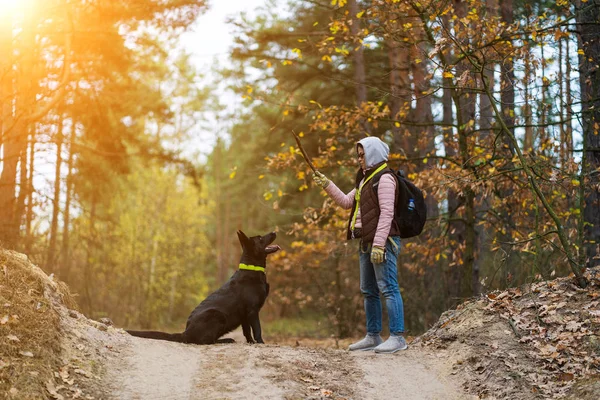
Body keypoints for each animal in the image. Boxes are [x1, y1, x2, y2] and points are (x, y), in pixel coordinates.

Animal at [127, 230, 282, 346]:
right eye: (261, 238)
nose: (274, 231)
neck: (252, 269)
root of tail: (186, 332)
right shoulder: (252, 311)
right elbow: (257, 330)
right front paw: (261, 343)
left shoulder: (245, 315)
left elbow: (247, 331)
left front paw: (250, 342)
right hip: (217, 315)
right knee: (206, 341)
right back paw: (225, 340)